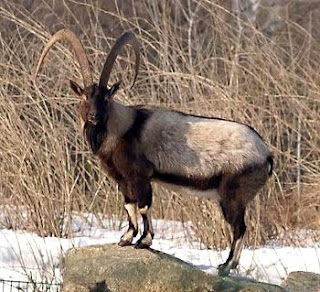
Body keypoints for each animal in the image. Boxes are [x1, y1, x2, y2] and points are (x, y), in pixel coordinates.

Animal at [36, 28, 274, 274]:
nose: (94, 116)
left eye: (106, 97)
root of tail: (266, 155)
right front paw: (126, 239)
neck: (124, 127)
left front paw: (144, 241)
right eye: (84, 96)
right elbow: (129, 206)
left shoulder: (140, 176)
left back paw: (226, 265)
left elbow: (143, 206)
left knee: (239, 227)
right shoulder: (123, 180)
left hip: (232, 197)